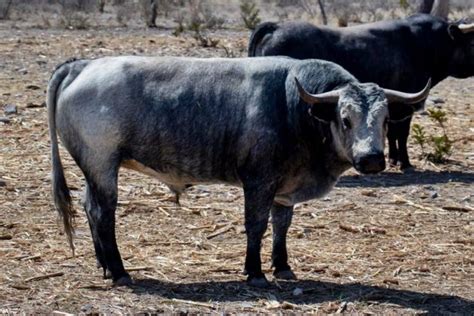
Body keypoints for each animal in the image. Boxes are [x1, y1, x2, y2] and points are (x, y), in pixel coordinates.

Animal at [47, 56, 430, 286]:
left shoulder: (284, 189)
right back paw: (119, 271)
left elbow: (281, 226)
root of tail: (83, 65)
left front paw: (282, 266)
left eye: (385, 119)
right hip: (102, 167)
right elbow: (256, 226)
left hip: (95, 170)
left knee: (91, 210)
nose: (371, 159)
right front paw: (255, 271)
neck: (291, 104)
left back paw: (104, 265)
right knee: (104, 214)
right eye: (345, 118)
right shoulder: (258, 182)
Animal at [248, 14, 474, 170]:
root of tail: (275, 26)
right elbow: (401, 133)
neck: (424, 44)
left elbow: (390, 132)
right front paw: (405, 162)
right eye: (473, 42)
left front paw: (393, 159)